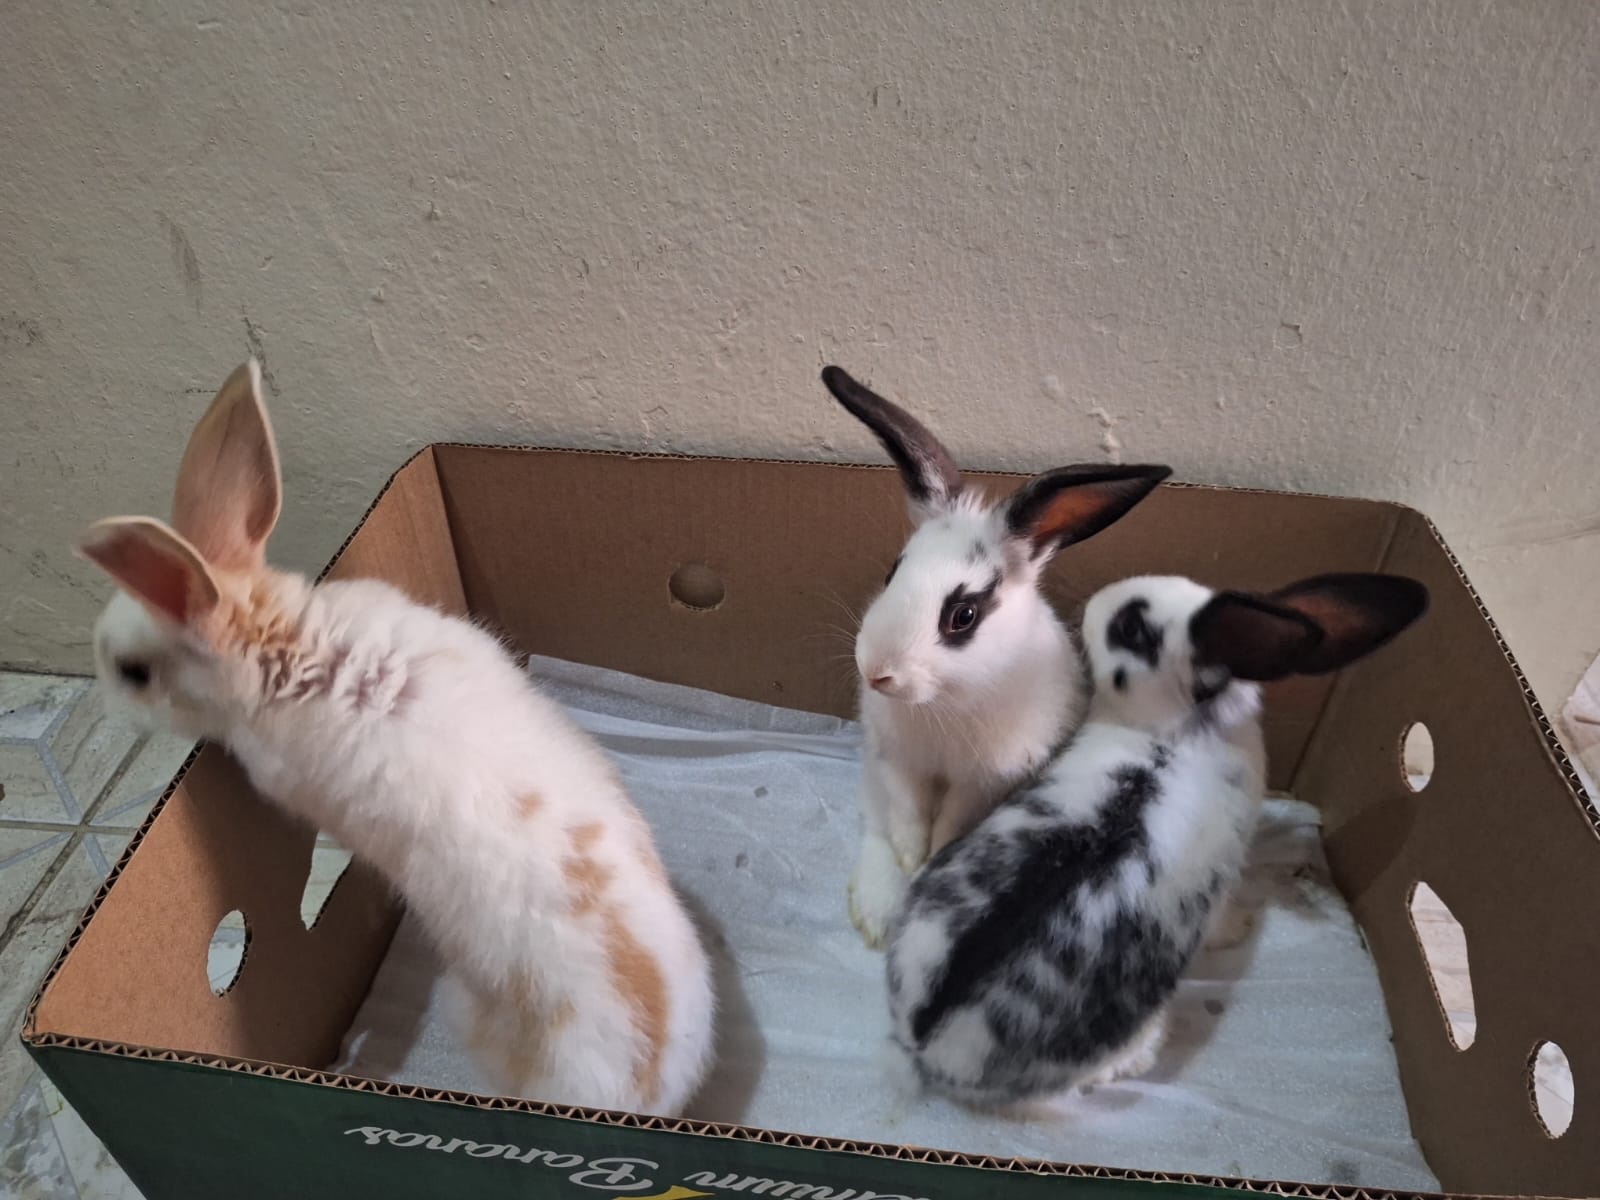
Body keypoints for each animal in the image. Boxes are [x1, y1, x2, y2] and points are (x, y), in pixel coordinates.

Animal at [821, 365, 1169, 948]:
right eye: (893, 572)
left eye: (963, 615)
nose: (877, 674)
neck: (942, 703)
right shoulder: (896, 760)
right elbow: (907, 815)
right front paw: (911, 860)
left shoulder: (982, 783)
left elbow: (949, 823)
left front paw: (930, 860)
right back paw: (877, 913)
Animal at [886, 570, 1429, 1110]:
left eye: (1132, 629)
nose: (1093, 602)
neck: (1174, 733)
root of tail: (928, 1039)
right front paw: (1242, 926)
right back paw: (1144, 1055)